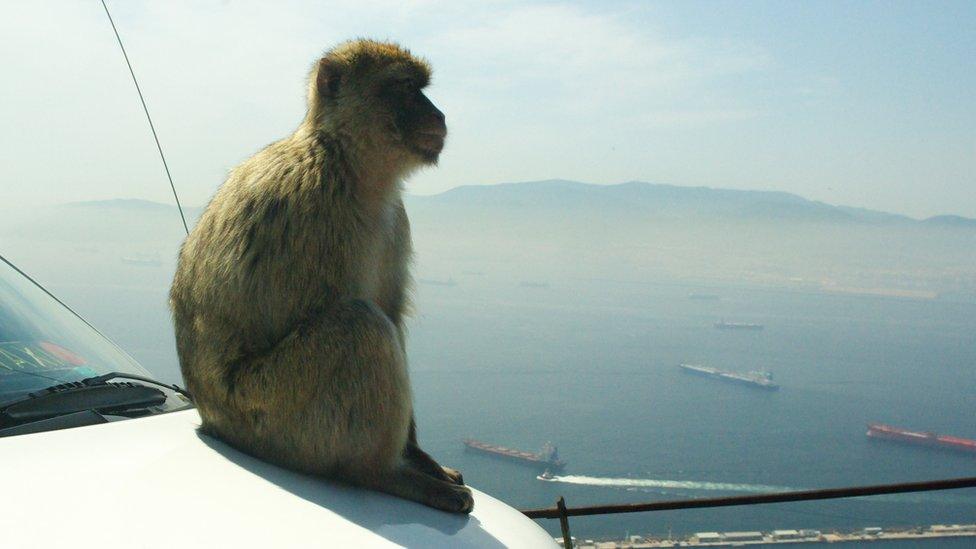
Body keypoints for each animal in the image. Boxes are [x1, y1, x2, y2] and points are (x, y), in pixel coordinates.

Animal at [169, 39, 472, 512]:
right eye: (406, 88)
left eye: (422, 89)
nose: (438, 115)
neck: (346, 161)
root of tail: (210, 420)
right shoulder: (318, 210)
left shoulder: (396, 220)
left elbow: (391, 312)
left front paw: (419, 453)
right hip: (272, 416)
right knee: (360, 326)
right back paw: (382, 473)